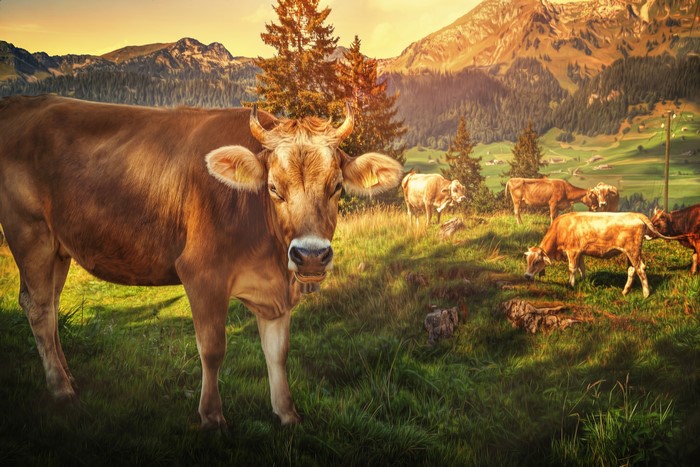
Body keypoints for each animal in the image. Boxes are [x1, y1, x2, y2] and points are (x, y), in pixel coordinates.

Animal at [0, 95, 403, 429]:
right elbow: (212, 348)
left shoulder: (276, 290)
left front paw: (287, 413)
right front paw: (211, 416)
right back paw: (61, 389)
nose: (311, 255)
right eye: (274, 188)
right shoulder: (202, 273)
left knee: (52, 307)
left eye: (335, 186)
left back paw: (68, 377)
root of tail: (22, 103)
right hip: (29, 231)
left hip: (58, 247)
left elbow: (278, 352)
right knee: (38, 307)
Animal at [523, 212, 674, 298]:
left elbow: (572, 269)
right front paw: (583, 282)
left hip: (633, 251)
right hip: (629, 252)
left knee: (640, 268)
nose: (526, 276)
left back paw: (646, 294)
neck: (561, 228)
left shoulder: (573, 251)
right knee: (632, 270)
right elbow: (581, 268)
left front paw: (571, 286)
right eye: (527, 260)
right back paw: (625, 292)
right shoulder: (580, 252)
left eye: (536, 262)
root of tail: (636, 214)